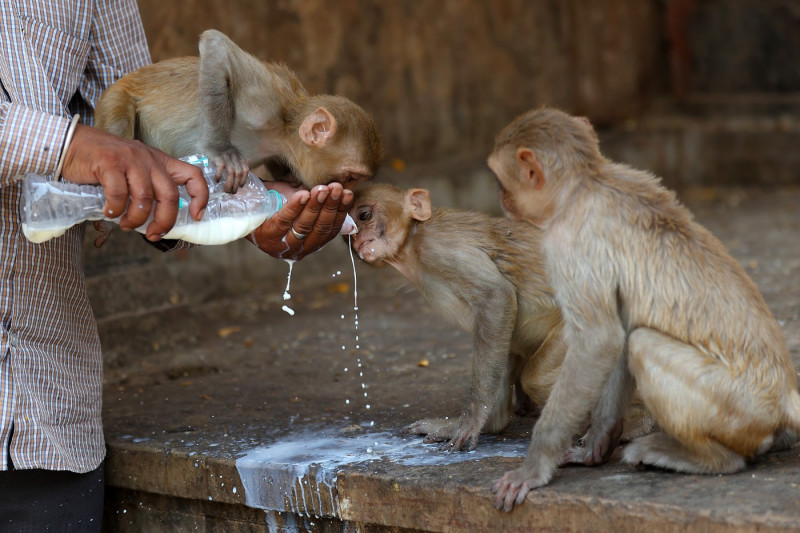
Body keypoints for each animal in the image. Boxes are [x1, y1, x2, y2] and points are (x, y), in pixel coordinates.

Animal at [95, 29, 382, 193]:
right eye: (351, 177)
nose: (346, 190)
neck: (283, 133)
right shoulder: (265, 103)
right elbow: (216, 45)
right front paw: (220, 149)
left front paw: (289, 177)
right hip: (115, 98)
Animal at [346, 182, 652, 448]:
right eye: (348, 235)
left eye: (364, 215)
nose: (357, 240)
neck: (412, 244)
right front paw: (486, 422)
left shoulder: (439, 247)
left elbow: (497, 298)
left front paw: (472, 420)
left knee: (537, 378)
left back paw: (634, 421)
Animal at [488, 107, 800, 512]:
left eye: (500, 179)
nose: (500, 198)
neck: (587, 182)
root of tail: (786, 399)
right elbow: (616, 336)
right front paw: (594, 448)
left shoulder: (569, 244)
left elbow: (599, 341)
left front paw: (534, 468)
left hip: (740, 408)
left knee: (643, 344)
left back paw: (708, 459)